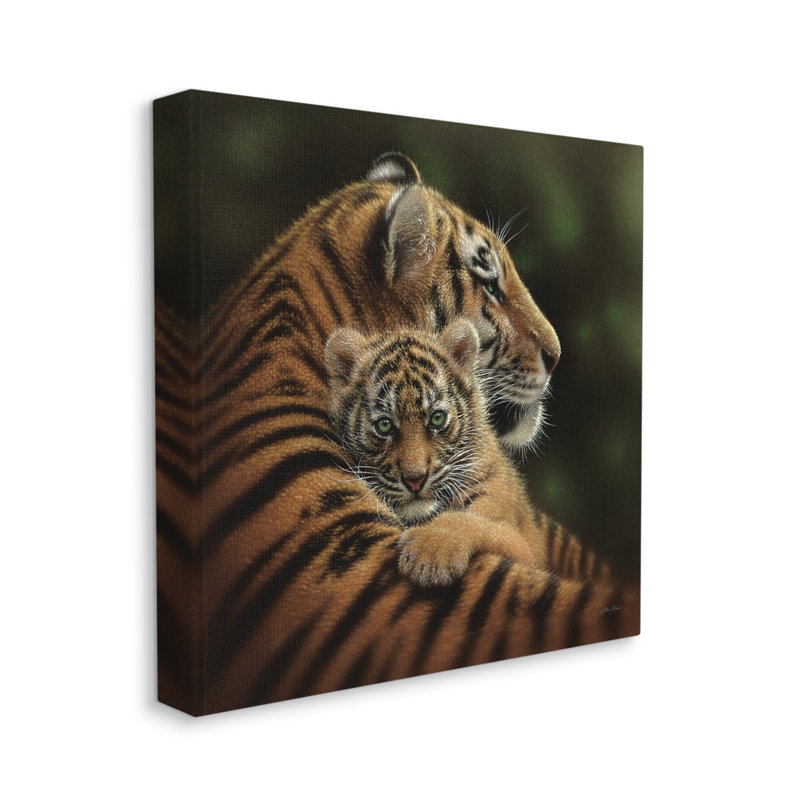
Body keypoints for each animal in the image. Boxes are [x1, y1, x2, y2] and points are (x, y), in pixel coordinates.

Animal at [325, 319, 544, 586]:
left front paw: (429, 554)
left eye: (437, 419)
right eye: (384, 425)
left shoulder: (525, 548)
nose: (415, 480)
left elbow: (472, 522)